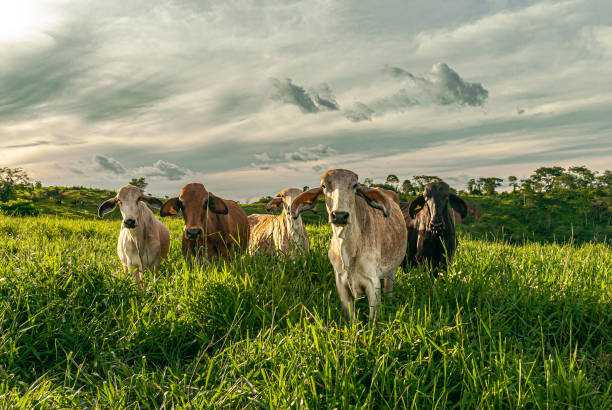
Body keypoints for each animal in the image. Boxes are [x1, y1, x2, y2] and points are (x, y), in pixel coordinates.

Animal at [290, 170, 406, 324]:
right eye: (324, 186)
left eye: (355, 185)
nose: (339, 215)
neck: (348, 251)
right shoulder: (341, 282)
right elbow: (350, 318)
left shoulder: (373, 282)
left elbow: (373, 320)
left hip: (392, 271)